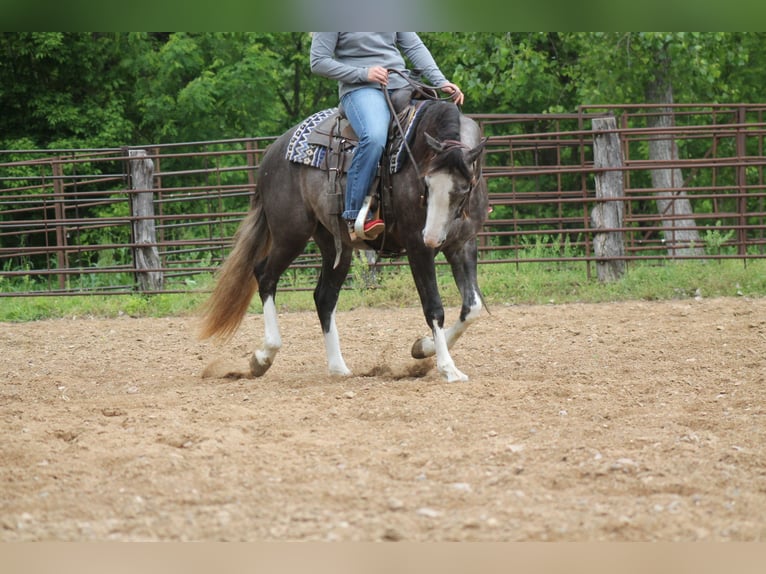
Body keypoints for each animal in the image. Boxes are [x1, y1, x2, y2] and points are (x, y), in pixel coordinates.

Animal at [199, 95, 488, 382]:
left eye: (463, 189)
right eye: (425, 182)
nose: (431, 237)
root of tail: (272, 153)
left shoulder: (462, 245)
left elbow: (472, 307)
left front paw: (422, 347)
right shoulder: (417, 249)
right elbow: (434, 307)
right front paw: (448, 368)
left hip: (334, 244)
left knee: (324, 297)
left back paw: (338, 367)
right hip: (290, 234)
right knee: (265, 275)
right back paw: (264, 356)